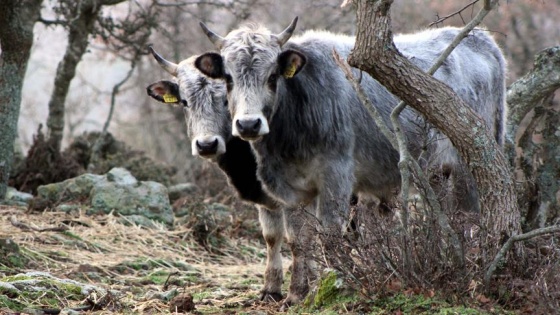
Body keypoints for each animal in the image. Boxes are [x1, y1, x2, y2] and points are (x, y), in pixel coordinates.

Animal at [144, 45, 320, 304]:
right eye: (185, 101)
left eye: (225, 99)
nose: (207, 144)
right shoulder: (267, 201)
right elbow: (272, 236)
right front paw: (271, 288)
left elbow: (303, 238)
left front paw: (305, 287)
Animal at [196, 18, 508, 304]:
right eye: (228, 79)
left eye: (273, 76)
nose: (248, 124)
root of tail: (482, 40)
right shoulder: (291, 189)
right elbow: (298, 241)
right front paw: (297, 293)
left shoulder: (336, 176)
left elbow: (331, 235)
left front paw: (336, 284)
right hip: (435, 173)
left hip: (468, 166)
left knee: (470, 219)